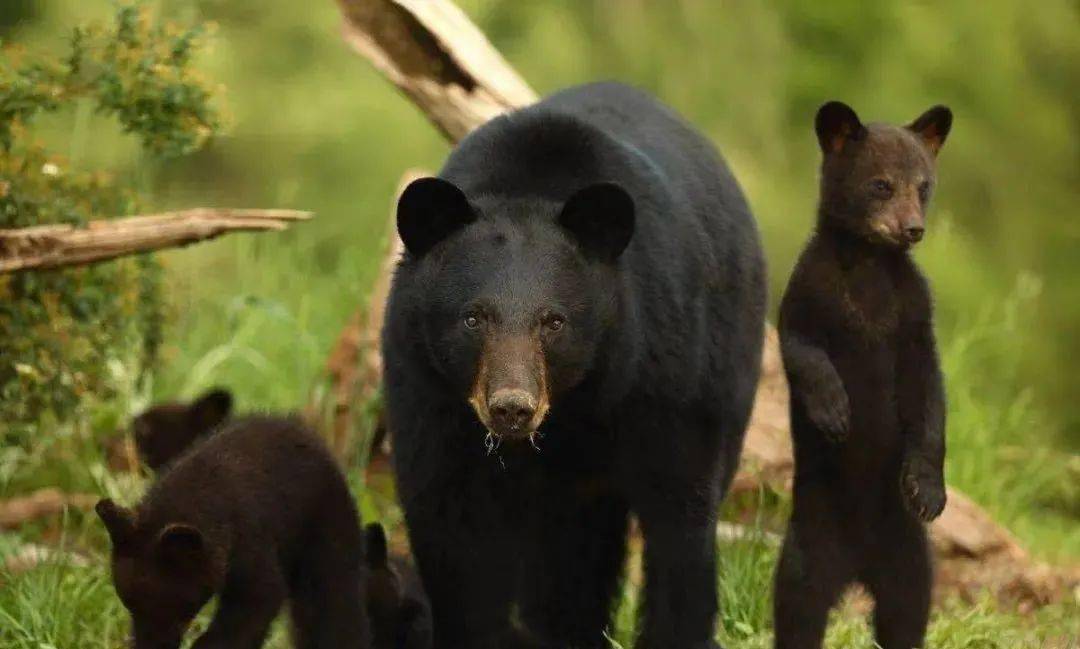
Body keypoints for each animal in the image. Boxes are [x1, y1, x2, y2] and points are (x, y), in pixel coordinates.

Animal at [98, 414, 367, 647]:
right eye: (129, 604)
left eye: (172, 606)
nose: (151, 645)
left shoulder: (248, 538)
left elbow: (259, 597)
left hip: (325, 528)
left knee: (332, 600)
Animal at [384, 80, 764, 647]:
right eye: (473, 317)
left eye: (553, 321)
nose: (511, 407)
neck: (571, 408)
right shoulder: (426, 390)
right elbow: (450, 529)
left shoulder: (661, 373)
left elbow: (680, 514)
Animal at [773, 102, 950, 647]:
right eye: (881, 185)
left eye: (924, 186)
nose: (913, 228)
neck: (870, 263)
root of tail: (857, 569)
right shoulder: (809, 292)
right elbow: (803, 349)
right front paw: (835, 414)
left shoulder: (913, 315)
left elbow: (929, 395)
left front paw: (927, 492)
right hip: (809, 544)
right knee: (798, 607)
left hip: (910, 556)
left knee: (906, 611)